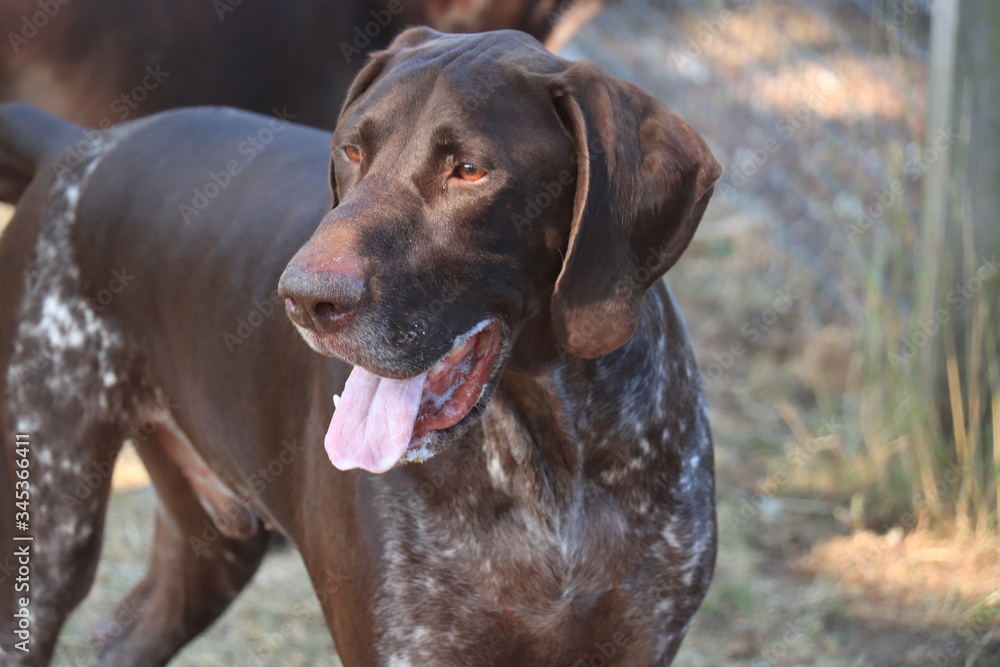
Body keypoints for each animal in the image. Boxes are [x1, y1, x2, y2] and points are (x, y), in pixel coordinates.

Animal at [0, 28, 720, 664]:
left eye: (469, 171)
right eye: (350, 151)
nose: (302, 297)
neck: (552, 467)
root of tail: (85, 144)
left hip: (211, 546)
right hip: (48, 545)